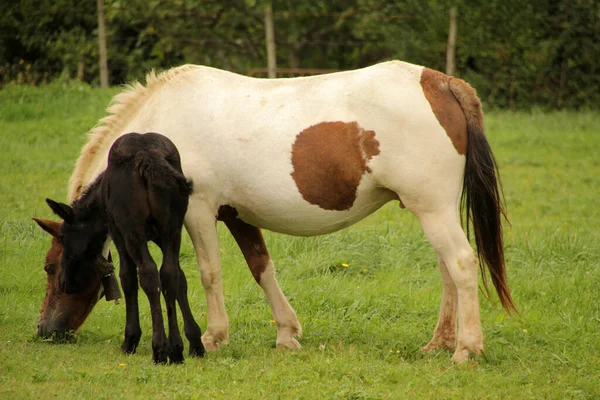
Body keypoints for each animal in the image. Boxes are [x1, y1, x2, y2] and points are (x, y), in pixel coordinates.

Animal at [35, 60, 516, 362]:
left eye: (52, 265)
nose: (46, 331)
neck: (156, 132)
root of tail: (440, 83)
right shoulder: (237, 216)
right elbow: (261, 268)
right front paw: (287, 334)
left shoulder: (199, 213)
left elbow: (208, 274)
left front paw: (212, 337)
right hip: (432, 211)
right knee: (448, 272)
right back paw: (440, 343)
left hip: (432, 210)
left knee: (461, 264)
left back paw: (466, 349)